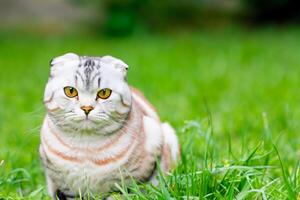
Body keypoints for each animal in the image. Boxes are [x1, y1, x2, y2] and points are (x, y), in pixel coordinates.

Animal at [40, 52, 180, 199]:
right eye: (70, 91)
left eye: (104, 93)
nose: (86, 108)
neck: (86, 150)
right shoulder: (68, 189)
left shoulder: (127, 184)